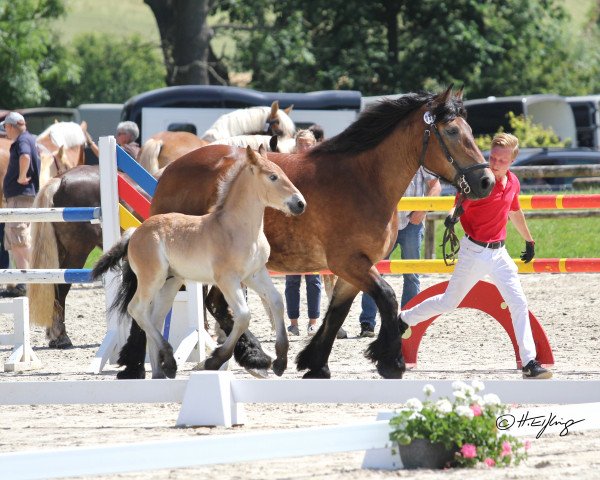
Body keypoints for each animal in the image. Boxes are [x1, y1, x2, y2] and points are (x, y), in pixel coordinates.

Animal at [91, 146, 308, 378]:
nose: (300, 204)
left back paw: (160, 371)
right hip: (152, 279)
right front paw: (215, 360)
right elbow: (243, 315)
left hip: (171, 282)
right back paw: (169, 361)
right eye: (273, 176)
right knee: (137, 309)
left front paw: (280, 361)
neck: (237, 228)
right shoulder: (227, 279)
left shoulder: (255, 274)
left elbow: (277, 302)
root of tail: (135, 232)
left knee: (154, 317)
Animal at [118, 85, 496, 378]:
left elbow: (337, 312)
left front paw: (316, 363)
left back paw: (246, 357)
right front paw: (390, 360)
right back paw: (141, 364)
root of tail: (171, 168)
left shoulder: (353, 268)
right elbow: (388, 298)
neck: (363, 180)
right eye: (452, 132)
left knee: (205, 305)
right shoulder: (350, 262)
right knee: (152, 305)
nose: (486, 181)